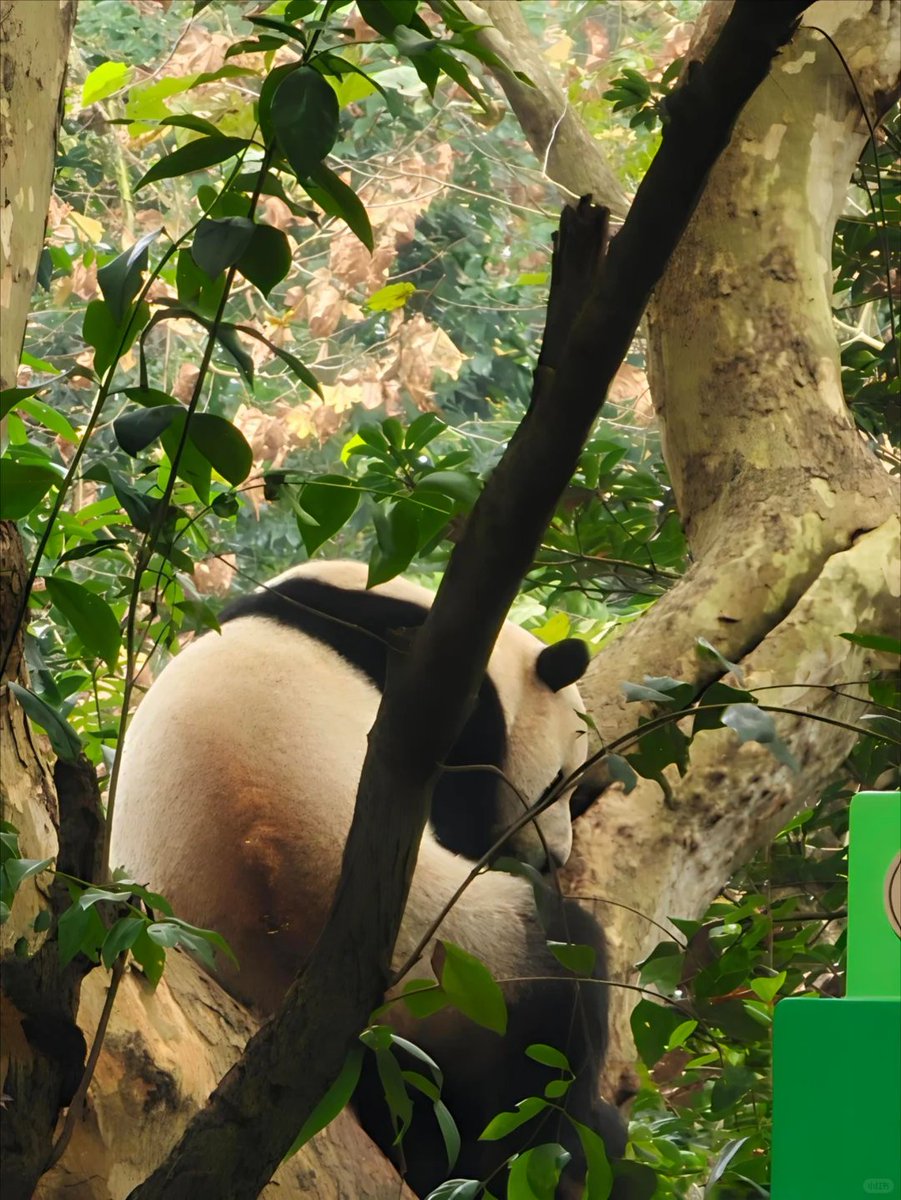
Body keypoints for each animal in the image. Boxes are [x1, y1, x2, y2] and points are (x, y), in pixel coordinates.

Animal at [111, 559, 625, 1194]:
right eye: (555, 784)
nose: (553, 857)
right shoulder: (444, 700)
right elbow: (464, 814)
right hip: (456, 964)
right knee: (556, 993)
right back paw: (569, 1141)